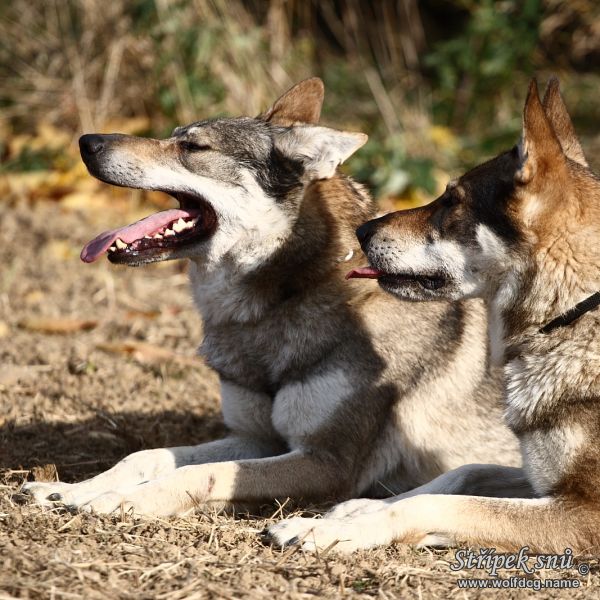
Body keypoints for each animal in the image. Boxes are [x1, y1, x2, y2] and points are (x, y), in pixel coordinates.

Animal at [24, 79, 520, 516]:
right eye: (171, 136)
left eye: (193, 147)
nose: (87, 141)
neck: (289, 296)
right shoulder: (256, 438)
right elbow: (146, 456)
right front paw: (71, 489)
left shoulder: (326, 463)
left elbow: (199, 474)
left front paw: (118, 500)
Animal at [270, 78, 600, 552]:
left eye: (451, 201)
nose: (363, 231)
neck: (570, 317)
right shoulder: (537, 483)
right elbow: (459, 474)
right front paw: (355, 509)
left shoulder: (583, 513)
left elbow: (434, 503)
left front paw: (328, 530)